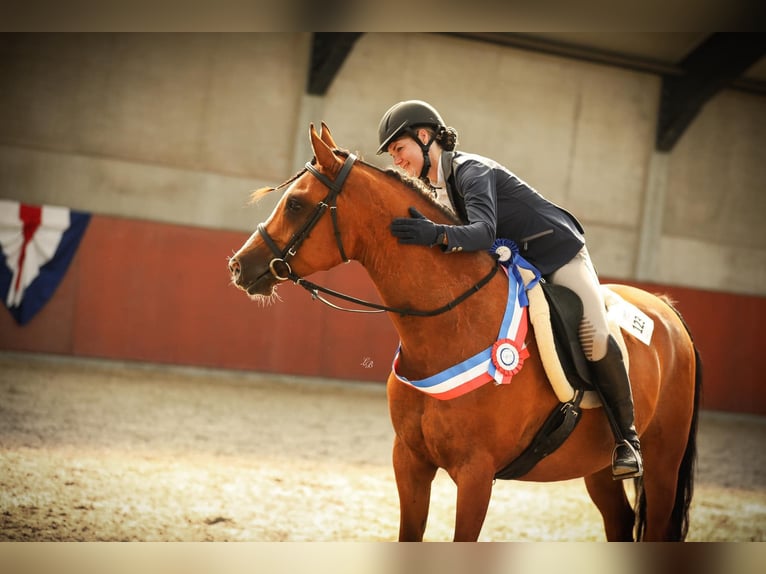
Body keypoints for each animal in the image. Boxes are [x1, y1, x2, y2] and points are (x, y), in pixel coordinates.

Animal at [227, 123, 702, 542]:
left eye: (295, 204)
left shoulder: (476, 475)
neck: (451, 326)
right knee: (619, 522)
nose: (238, 266)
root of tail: (668, 311)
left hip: (662, 463)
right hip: (596, 468)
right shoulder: (410, 461)